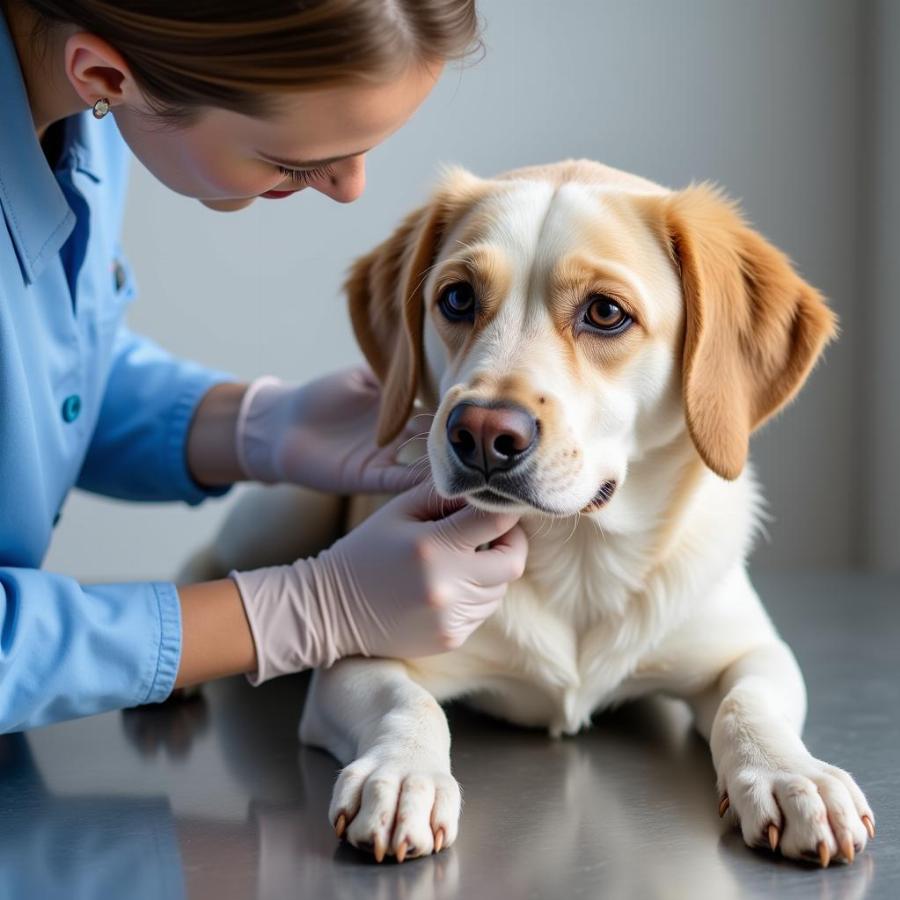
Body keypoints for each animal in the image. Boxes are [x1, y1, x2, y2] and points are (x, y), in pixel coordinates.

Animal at [183, 160, 872, 864]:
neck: (582, 558)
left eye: (605, 312)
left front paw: (794, 776)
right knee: (209, 557)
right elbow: (410, 704)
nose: (482, 432)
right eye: (457, 299)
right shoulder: (357, 661)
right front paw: (403, 775)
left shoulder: (753, 650)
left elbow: (749, 704)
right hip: (287, 508)